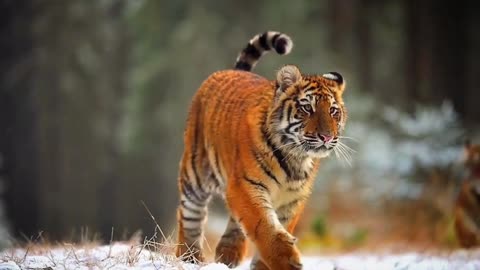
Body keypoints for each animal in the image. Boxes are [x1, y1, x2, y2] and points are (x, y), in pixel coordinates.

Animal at [174, 30, 346, 268]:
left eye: (333, 111)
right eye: (307, 108)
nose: (327, 136)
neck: (296, 158)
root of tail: (232, 71)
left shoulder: (292, 198)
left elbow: (278, 226)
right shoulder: (246, 185)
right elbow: (264, 226)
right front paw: (287, 262)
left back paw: (228, 253)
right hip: (196, 175)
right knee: (189, 215)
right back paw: (189, 257)